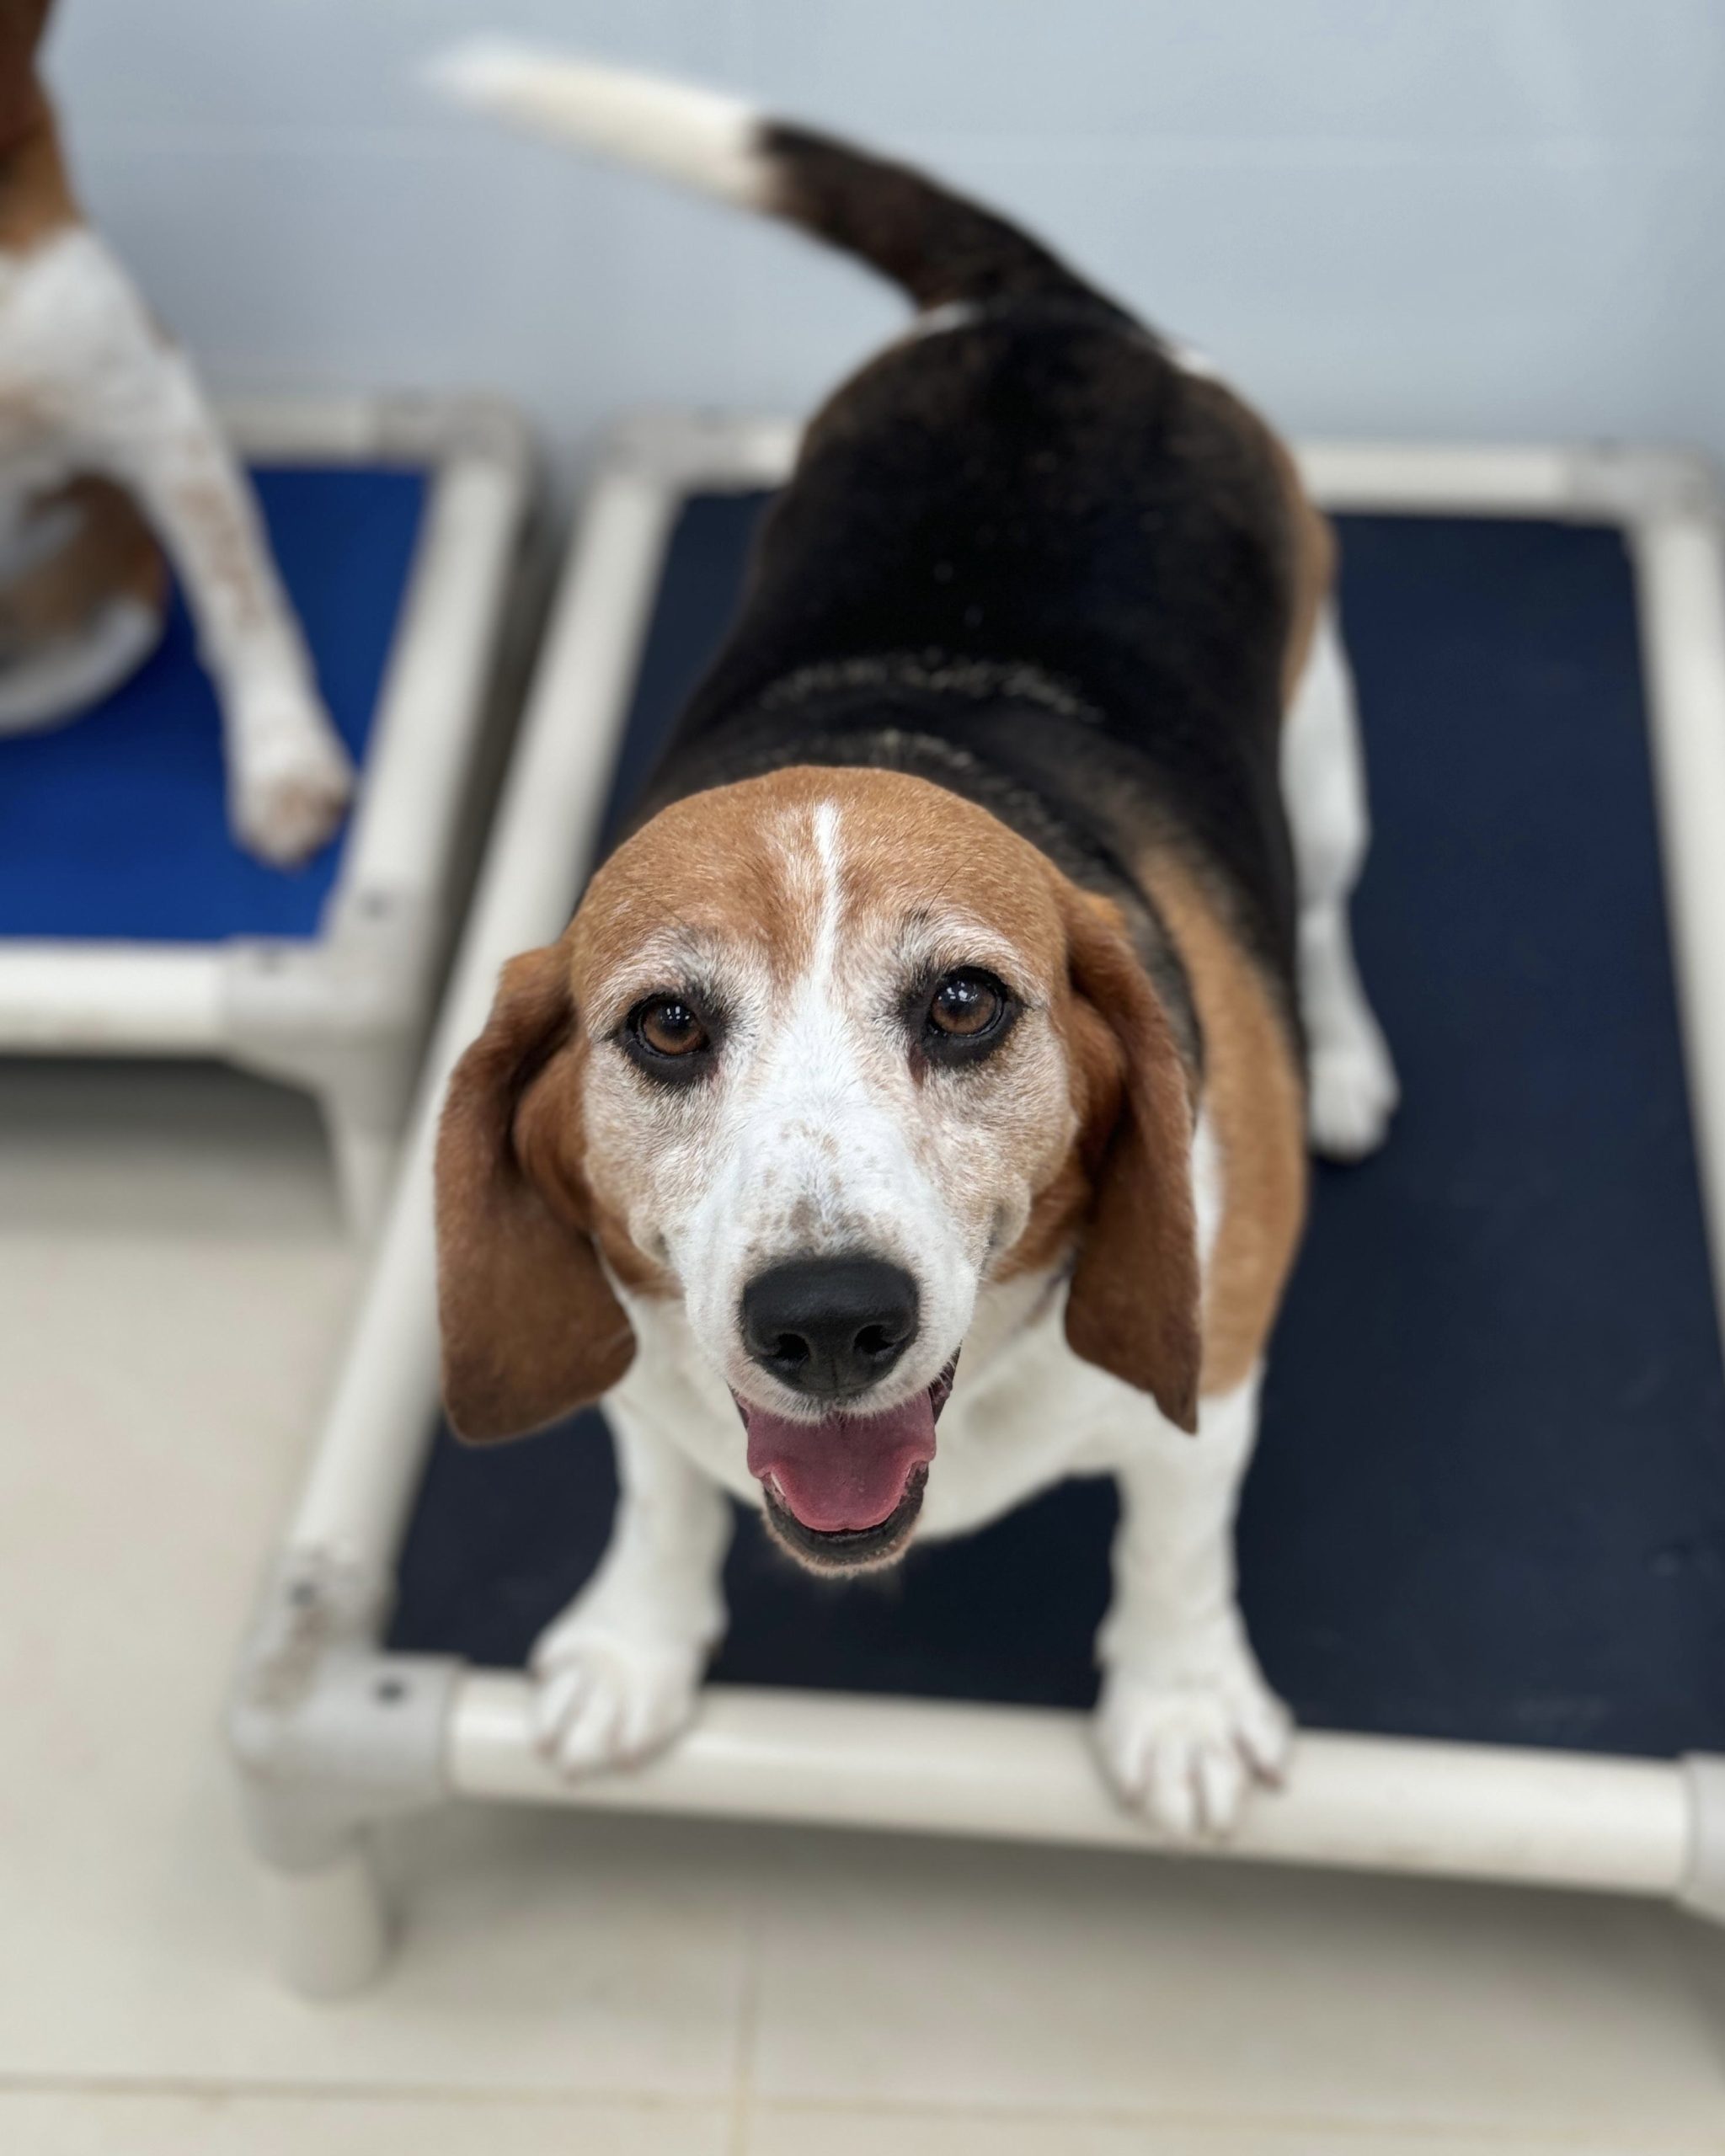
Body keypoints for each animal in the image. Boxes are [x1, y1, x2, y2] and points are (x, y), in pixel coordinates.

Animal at [432, 47, 1398, 1837]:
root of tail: (1038, 313)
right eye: (665, 1028)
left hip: (1320, 736)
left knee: (1320, 899)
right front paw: (633, 1643)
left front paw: (1179, 1706)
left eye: (963, 1005)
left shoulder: (1211, 1371)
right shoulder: (640, 1361)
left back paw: (1348, 1057)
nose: (824, 1319)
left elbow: (1174, 1542)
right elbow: (660, 1487)